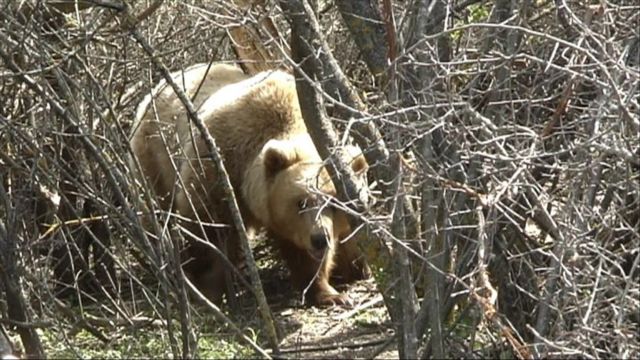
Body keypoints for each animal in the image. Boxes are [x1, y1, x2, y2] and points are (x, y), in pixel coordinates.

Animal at [130, 63, 370, 306]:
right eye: (301, 202)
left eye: (333, 203)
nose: (320, 239)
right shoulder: (218, 169)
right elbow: (206, 228)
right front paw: (206, 287)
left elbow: (304, 256)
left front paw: (331, 293)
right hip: (155, 160)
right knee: (158, 212)